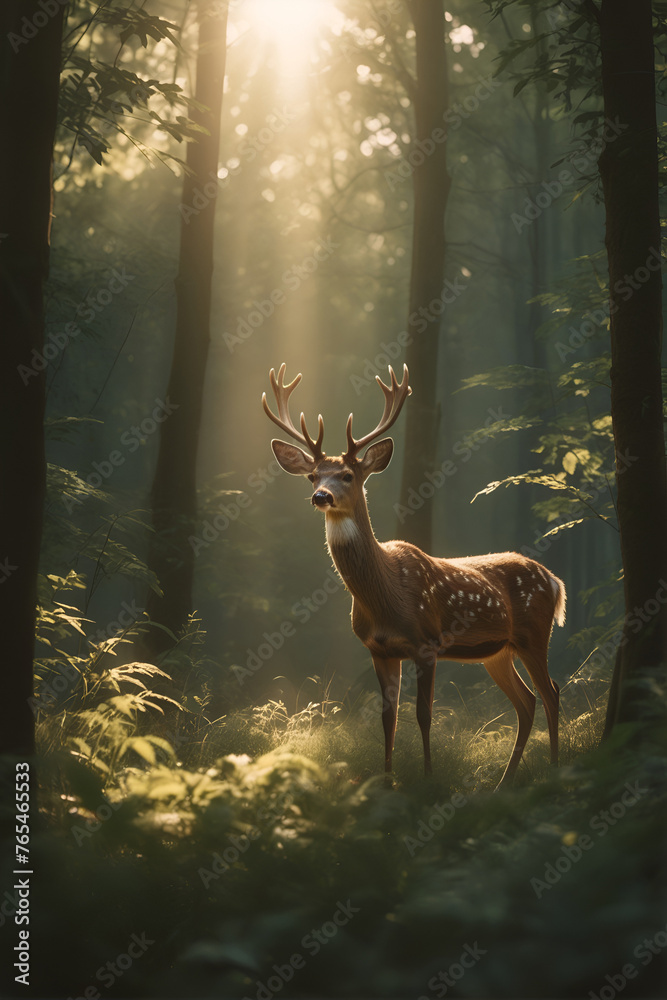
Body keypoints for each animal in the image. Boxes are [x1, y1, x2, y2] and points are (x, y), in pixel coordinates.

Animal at [263, 362, 566, 788]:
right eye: (313, 476)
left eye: (348, 475)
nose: (321, 496)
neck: (387, 596)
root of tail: (555, 581)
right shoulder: (379, 649)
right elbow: (387, 718)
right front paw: (387, 781)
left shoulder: (427, 642)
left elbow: (424, 715)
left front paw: (427, 777)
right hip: (498, 651)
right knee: (527, 701)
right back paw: (504, 781)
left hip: (535, 634)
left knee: (551, 692)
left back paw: (554, 768)